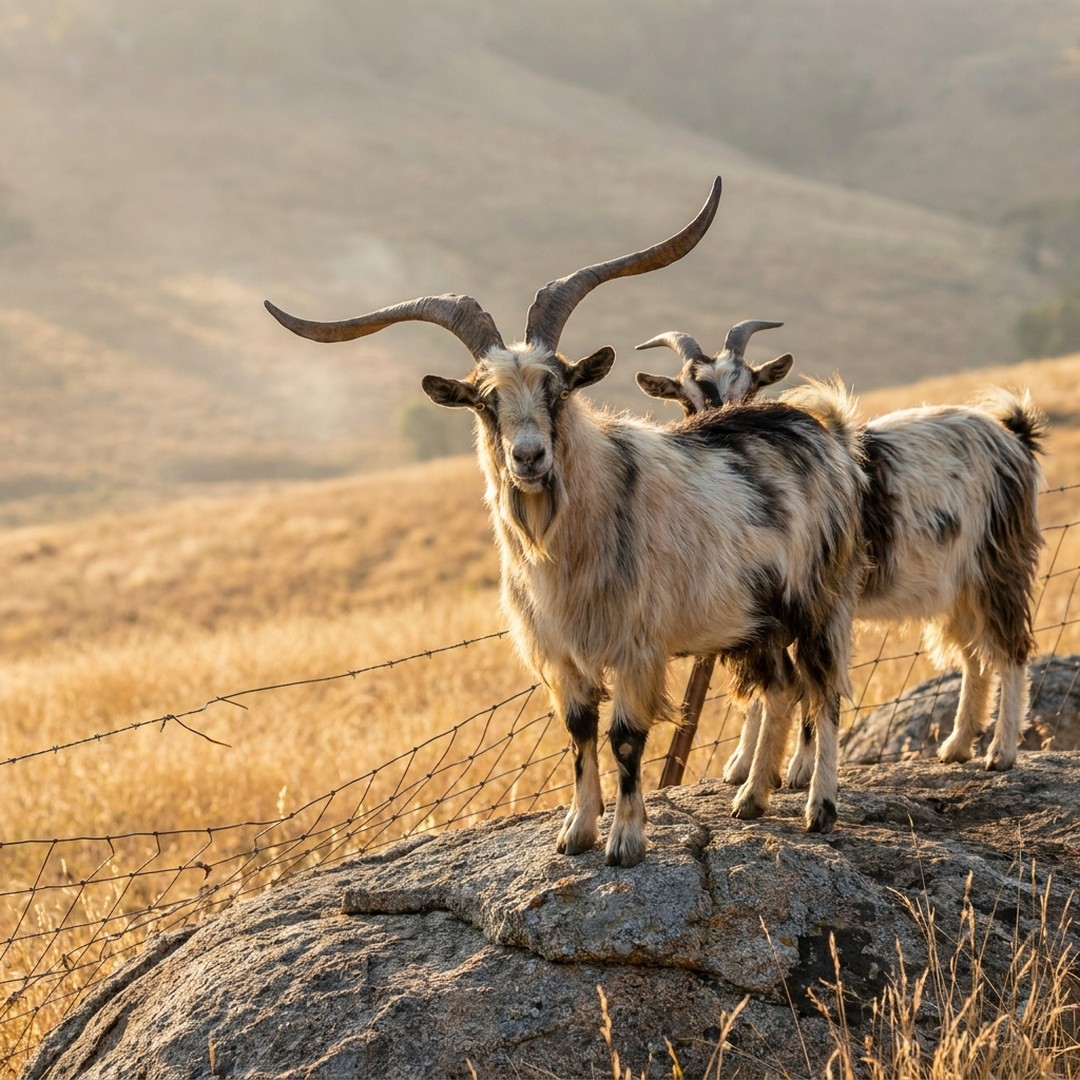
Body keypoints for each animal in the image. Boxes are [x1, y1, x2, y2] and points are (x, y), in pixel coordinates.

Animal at [265, 178, 869, 866]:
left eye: (557, 388)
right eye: (485, 400)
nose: (529, 457)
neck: (570, 542)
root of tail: (825, 433)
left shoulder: (637, 645)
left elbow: (626, 737)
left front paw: (625, 841)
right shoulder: (558, 653)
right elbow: (580, 731)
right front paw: (576, 833)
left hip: (820, 599)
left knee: (825, 691)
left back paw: (819, 808)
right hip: (756, 620)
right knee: (782, 687)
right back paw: (751, 799)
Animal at [637, 331, 1046, 782]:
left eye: (752, 387)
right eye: (686, 399)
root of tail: (1012, 437)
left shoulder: (818, 601)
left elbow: (807, 684)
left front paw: (799, 770)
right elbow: (771, 689)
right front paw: (744, 766)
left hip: (999, 561)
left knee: (1012, 650)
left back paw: (1001, 752)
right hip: (959, 585)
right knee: (975, 656)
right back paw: (957, 746)